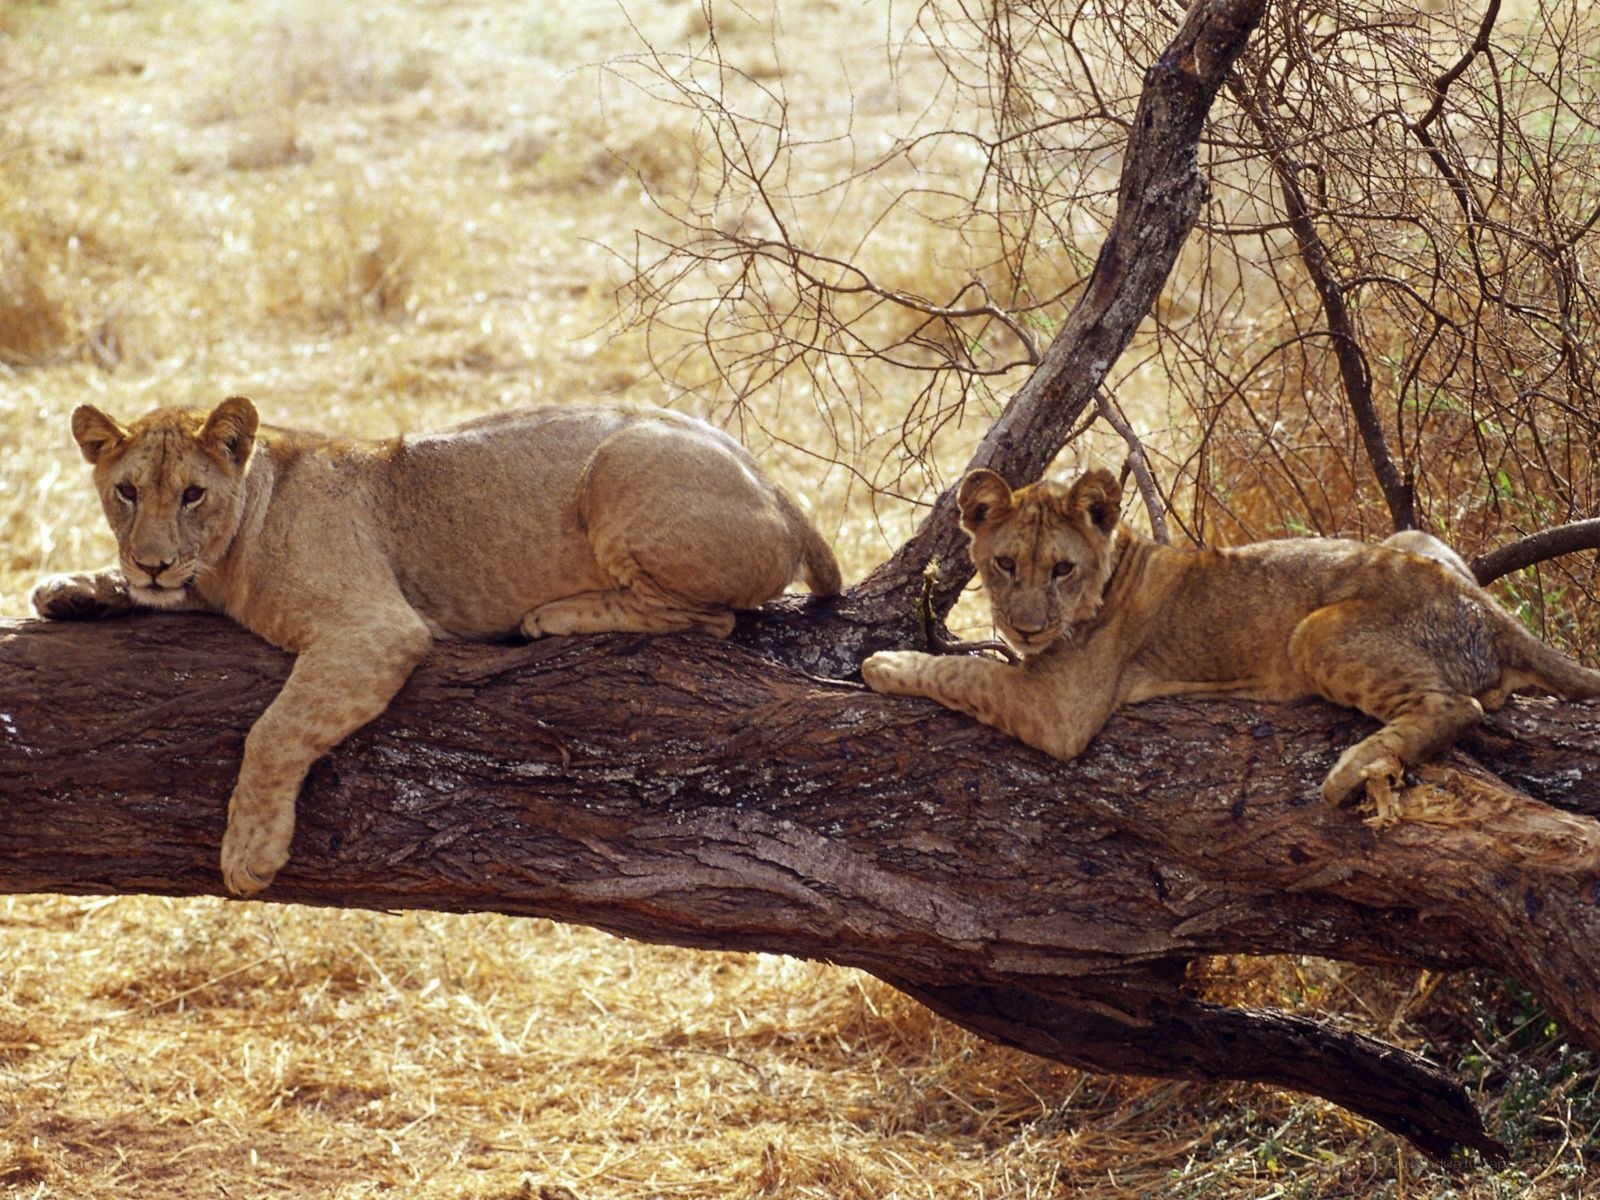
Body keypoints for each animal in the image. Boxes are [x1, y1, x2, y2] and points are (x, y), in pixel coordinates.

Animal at [34, 396, 842, 895]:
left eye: (192, 495)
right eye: (127, 492)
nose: (154, 561)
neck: (230, 549)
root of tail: (780, 490)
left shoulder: (374, 628)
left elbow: (273, 732)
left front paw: (249, 854)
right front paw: (72, 588)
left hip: (622, 462)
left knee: (714, 621)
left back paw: (556, 615)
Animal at [862, 467, 1600, 813]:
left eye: (1061, 569)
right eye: (1005, 564)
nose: (1026, 625)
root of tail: (1485, 607)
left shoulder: (1060, 712)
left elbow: (964, 674)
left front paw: (885, 661)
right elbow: (978, 665)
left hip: (1315, 633)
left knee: (1458, 706)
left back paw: (1350, 773)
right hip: (1415, 537)